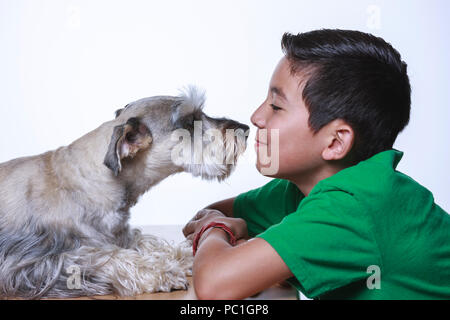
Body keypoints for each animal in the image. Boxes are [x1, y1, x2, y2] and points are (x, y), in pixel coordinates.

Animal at [0, 86, 250, 298]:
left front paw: (186, 255)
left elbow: (150, 243)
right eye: (190, 121)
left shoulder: (121, 235)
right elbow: (109, 258)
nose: (245, 129)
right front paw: (162, 272)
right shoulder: (41, 260)